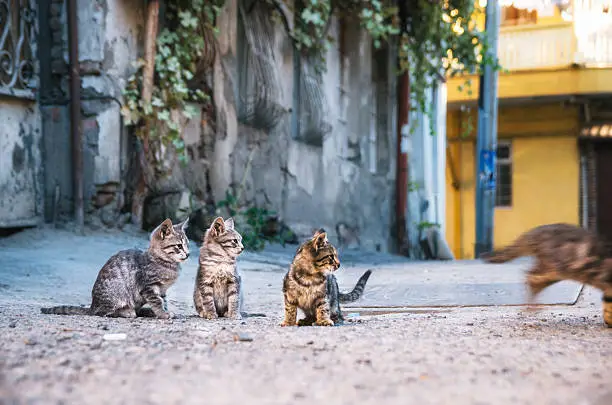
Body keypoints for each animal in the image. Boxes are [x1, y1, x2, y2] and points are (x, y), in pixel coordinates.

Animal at [40, 218, 189, 318]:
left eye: (187, 244)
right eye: (179, 246)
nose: (188, 254)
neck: (164, 261)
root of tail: (93, 305)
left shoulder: (162, 289)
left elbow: (163, 300)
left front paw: (164, 311)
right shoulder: (148, 286)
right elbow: (157, 301)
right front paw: (163, 314)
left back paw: (146, 311)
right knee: (103, 312)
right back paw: (127, 312)